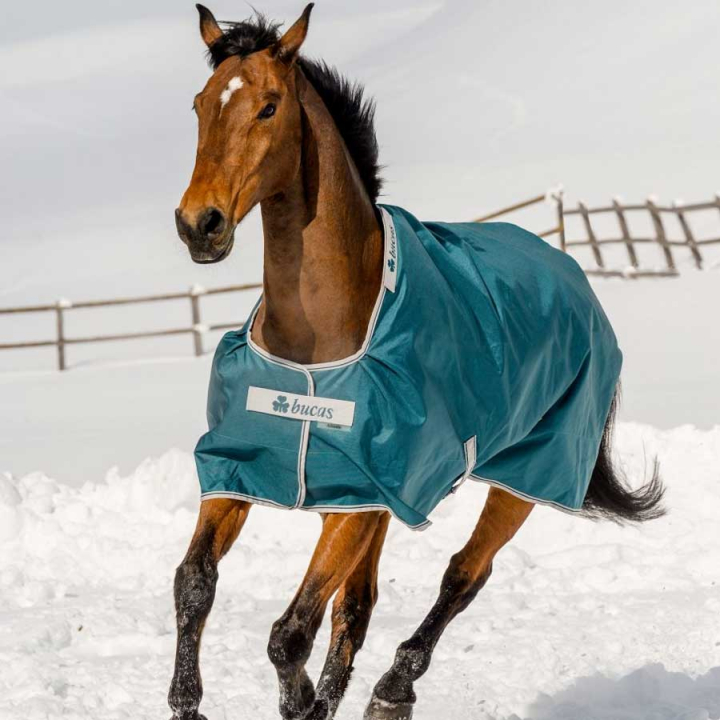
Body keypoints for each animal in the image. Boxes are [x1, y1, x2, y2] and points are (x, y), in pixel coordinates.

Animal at [169, 5, 665, 720]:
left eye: (267, 107)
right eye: (200, 104)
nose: (198, 225)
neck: (320, 344)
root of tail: (571, 273)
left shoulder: (360, 498)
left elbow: (289, 633)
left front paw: (302, 701)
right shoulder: (248, 473)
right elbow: (195, 584)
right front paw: (192, 701)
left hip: (527, 475)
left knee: (463, 574)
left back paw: (392, 691)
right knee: (359, 606)